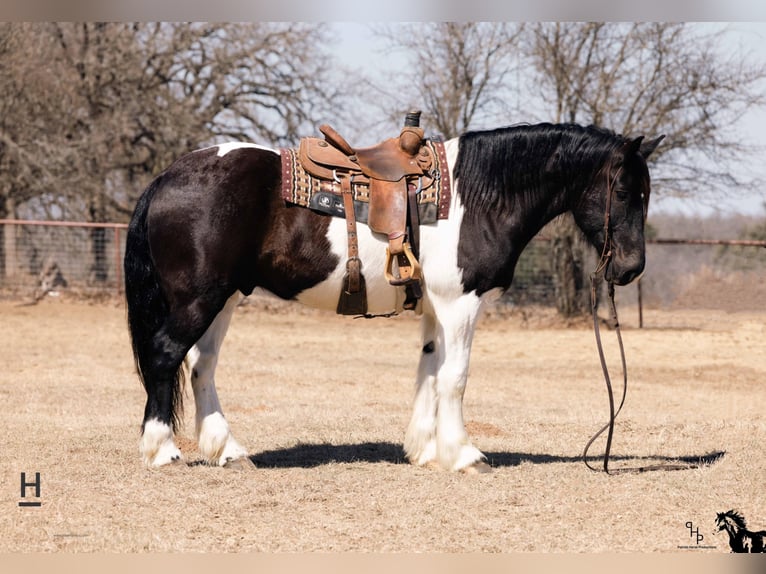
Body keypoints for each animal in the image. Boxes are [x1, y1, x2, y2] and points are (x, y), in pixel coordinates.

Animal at [126, 120, 664, 472]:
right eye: (623, 192)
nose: (632, 268)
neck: (476, 196)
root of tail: (168, 176)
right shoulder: (461, 305)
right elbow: (456, 378)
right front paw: (464, 455)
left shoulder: (435, 309)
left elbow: (429, 374)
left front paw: (425, 451)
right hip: (199, 298)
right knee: (165, 355)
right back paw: (163, 450)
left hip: (225, 297)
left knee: (201, 366)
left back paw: (228, 451)